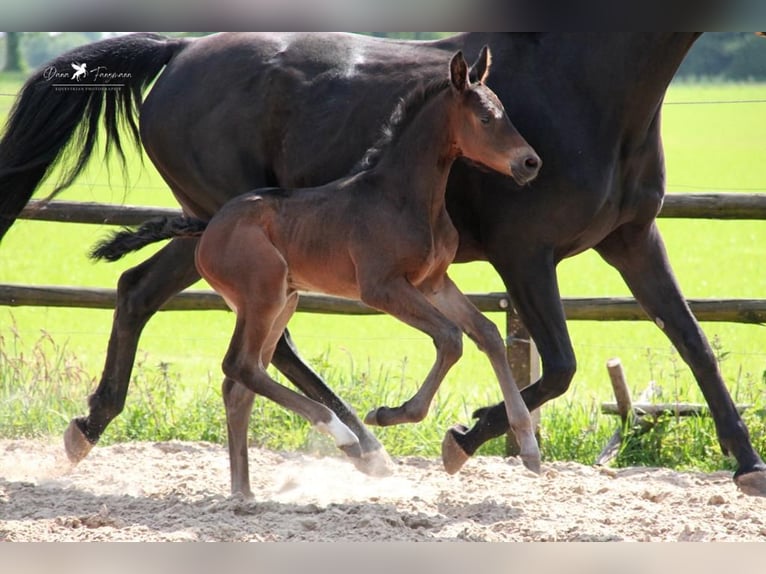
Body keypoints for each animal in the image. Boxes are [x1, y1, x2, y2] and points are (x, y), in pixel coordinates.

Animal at [93, 48, 544, 500]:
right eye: (485, 117)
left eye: (504, 112)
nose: (530, 162)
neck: (402, 197)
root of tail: (209, 225)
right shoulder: (381, 288)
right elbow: (451, 338)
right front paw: (390, 413)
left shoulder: (434, 283)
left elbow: (487, 333)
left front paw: (528, 447)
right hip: (264, 295)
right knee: (239, 366)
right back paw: (344, 435)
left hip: (283, 300)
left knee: (239, 385)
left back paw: (244, 492)